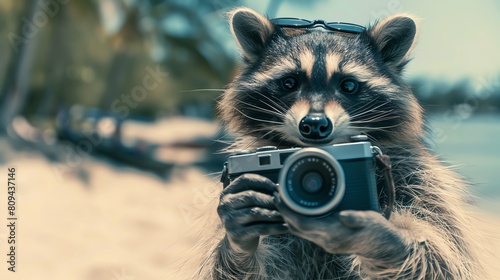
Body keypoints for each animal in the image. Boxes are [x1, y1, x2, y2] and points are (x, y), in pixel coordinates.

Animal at [193, 6, 486, 280]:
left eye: (348, 85)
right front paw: (239, 243)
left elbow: (443, 258)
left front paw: (379, 238)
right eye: (289, 82)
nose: (314, 124)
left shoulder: (418, 178)